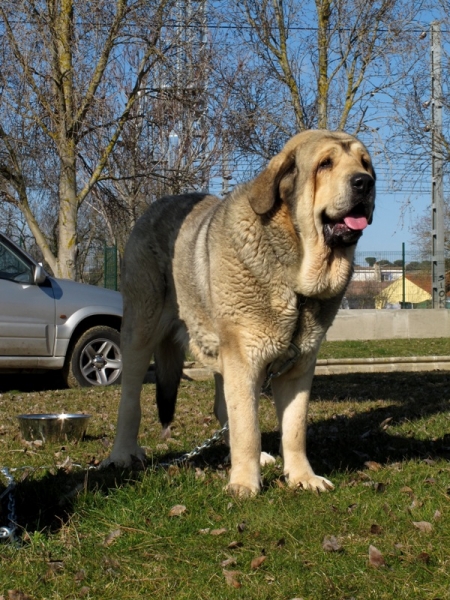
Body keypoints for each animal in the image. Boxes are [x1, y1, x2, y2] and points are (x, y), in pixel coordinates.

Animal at [103, 129, 374, 494]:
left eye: (365, 163)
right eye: (325, 164)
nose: (364, 182)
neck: (294, 275)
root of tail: (157, 205)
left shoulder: (298, 367)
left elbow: (294, 429)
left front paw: (302, 477)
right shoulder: (245, 357)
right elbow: (248, 426)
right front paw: (245, 484)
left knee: (223, 407)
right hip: (141, 331)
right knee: (130, 400)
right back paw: (122, 454)